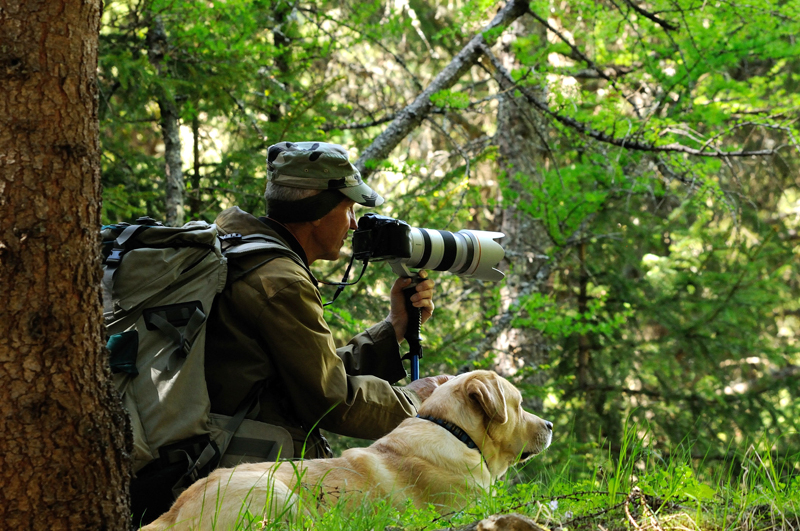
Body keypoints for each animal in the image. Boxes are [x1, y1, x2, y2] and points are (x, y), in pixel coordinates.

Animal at [141, 372, 552, 528]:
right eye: (518, 405)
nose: (549, 426)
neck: (454, 431)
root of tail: (171, 513)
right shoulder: (464, 509)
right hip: (279, 495)